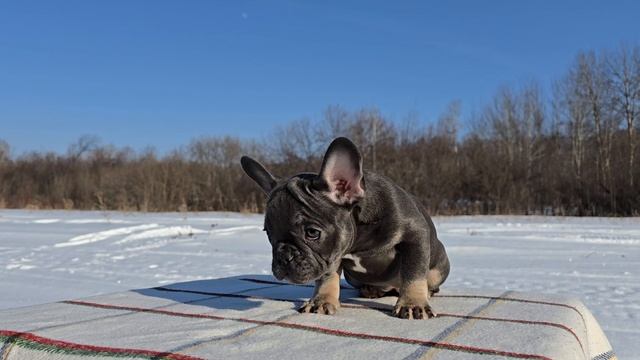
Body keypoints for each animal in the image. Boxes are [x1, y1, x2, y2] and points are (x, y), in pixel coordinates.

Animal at [240, 137, 450, 318]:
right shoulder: (332, 254)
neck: (359, 238)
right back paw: (371, 290)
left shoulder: (414, 235)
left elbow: (413, 273)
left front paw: (413, 304)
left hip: (438, 266)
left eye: (312, 233)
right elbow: (327, 276)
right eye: (269, 234)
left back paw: (426, 292)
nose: (284, 256)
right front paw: (321, 301)